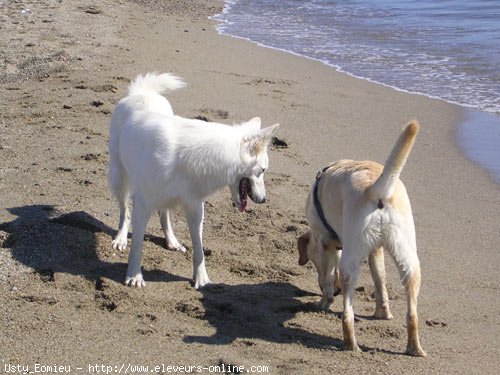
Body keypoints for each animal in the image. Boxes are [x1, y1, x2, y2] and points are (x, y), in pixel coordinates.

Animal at [108, 74, 278, 290]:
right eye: (263, 170)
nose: (264, 200)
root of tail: (140, 93)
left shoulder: (196, 208)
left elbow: (199, 248)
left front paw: (201, 278)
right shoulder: (143, 204)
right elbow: (137, 244)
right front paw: (134, 275)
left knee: (164, 215)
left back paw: (172, 241)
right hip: (119, 179)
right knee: (125, 212)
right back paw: (121, 237)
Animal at [296, 123, 426, 358]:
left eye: (311, 260)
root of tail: (377, 189)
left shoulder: (325, 243)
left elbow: (328, 277)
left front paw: (325, 301)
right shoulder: (376, 250)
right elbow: (380, 280)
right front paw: (383, 313)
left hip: (350, 264)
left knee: (347, 311)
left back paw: (350, 343)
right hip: (408, 256)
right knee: (412, 311)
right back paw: (414, 347)